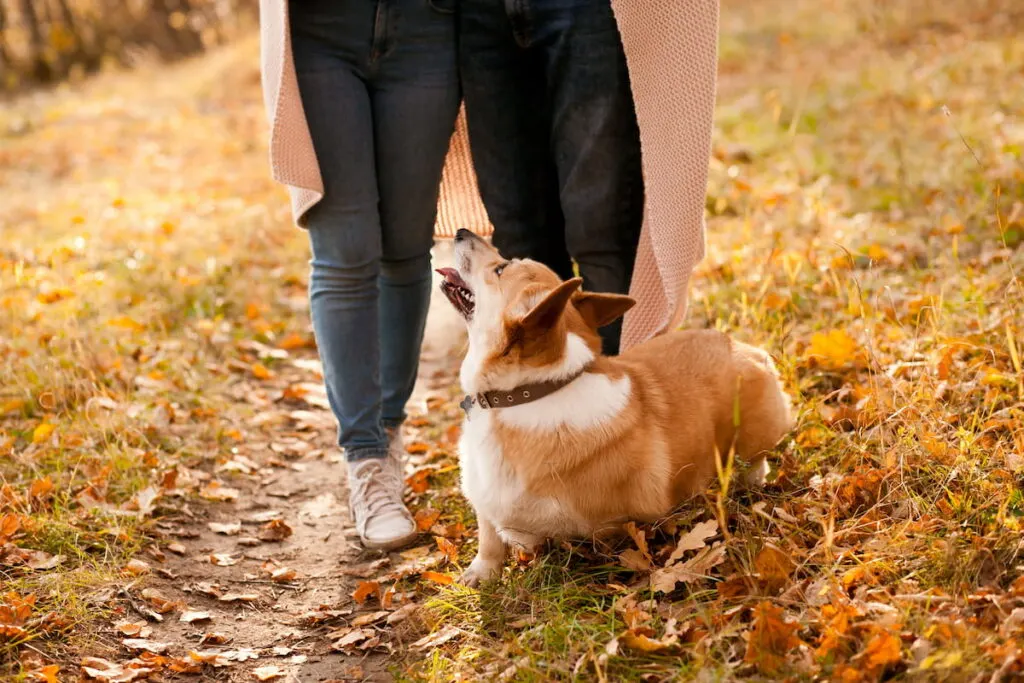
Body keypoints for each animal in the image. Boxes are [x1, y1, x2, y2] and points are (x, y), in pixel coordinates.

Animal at [436, 231, 794, 589]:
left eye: (500, 269)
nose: (462, 232)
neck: (525, 394)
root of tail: (745, 348)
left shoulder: (605, 528)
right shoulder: (484, 504)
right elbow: (489, 540)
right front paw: (481, 574)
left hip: (753, 438)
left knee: (755, 463)